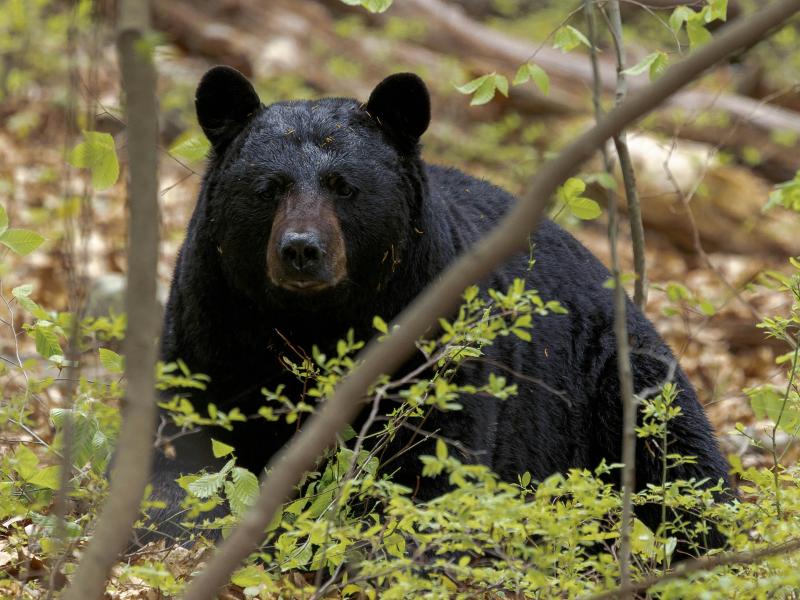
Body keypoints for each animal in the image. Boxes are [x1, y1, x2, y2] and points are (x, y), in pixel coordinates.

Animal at [144, 66, 730, 553]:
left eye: (344, 187)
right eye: (268, 188)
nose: (301, 249)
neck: (314, 322)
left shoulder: (433, 337)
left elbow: (435, 459)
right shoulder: (212, 323)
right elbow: (184, 443)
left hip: (612, 376)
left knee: (679, 457)